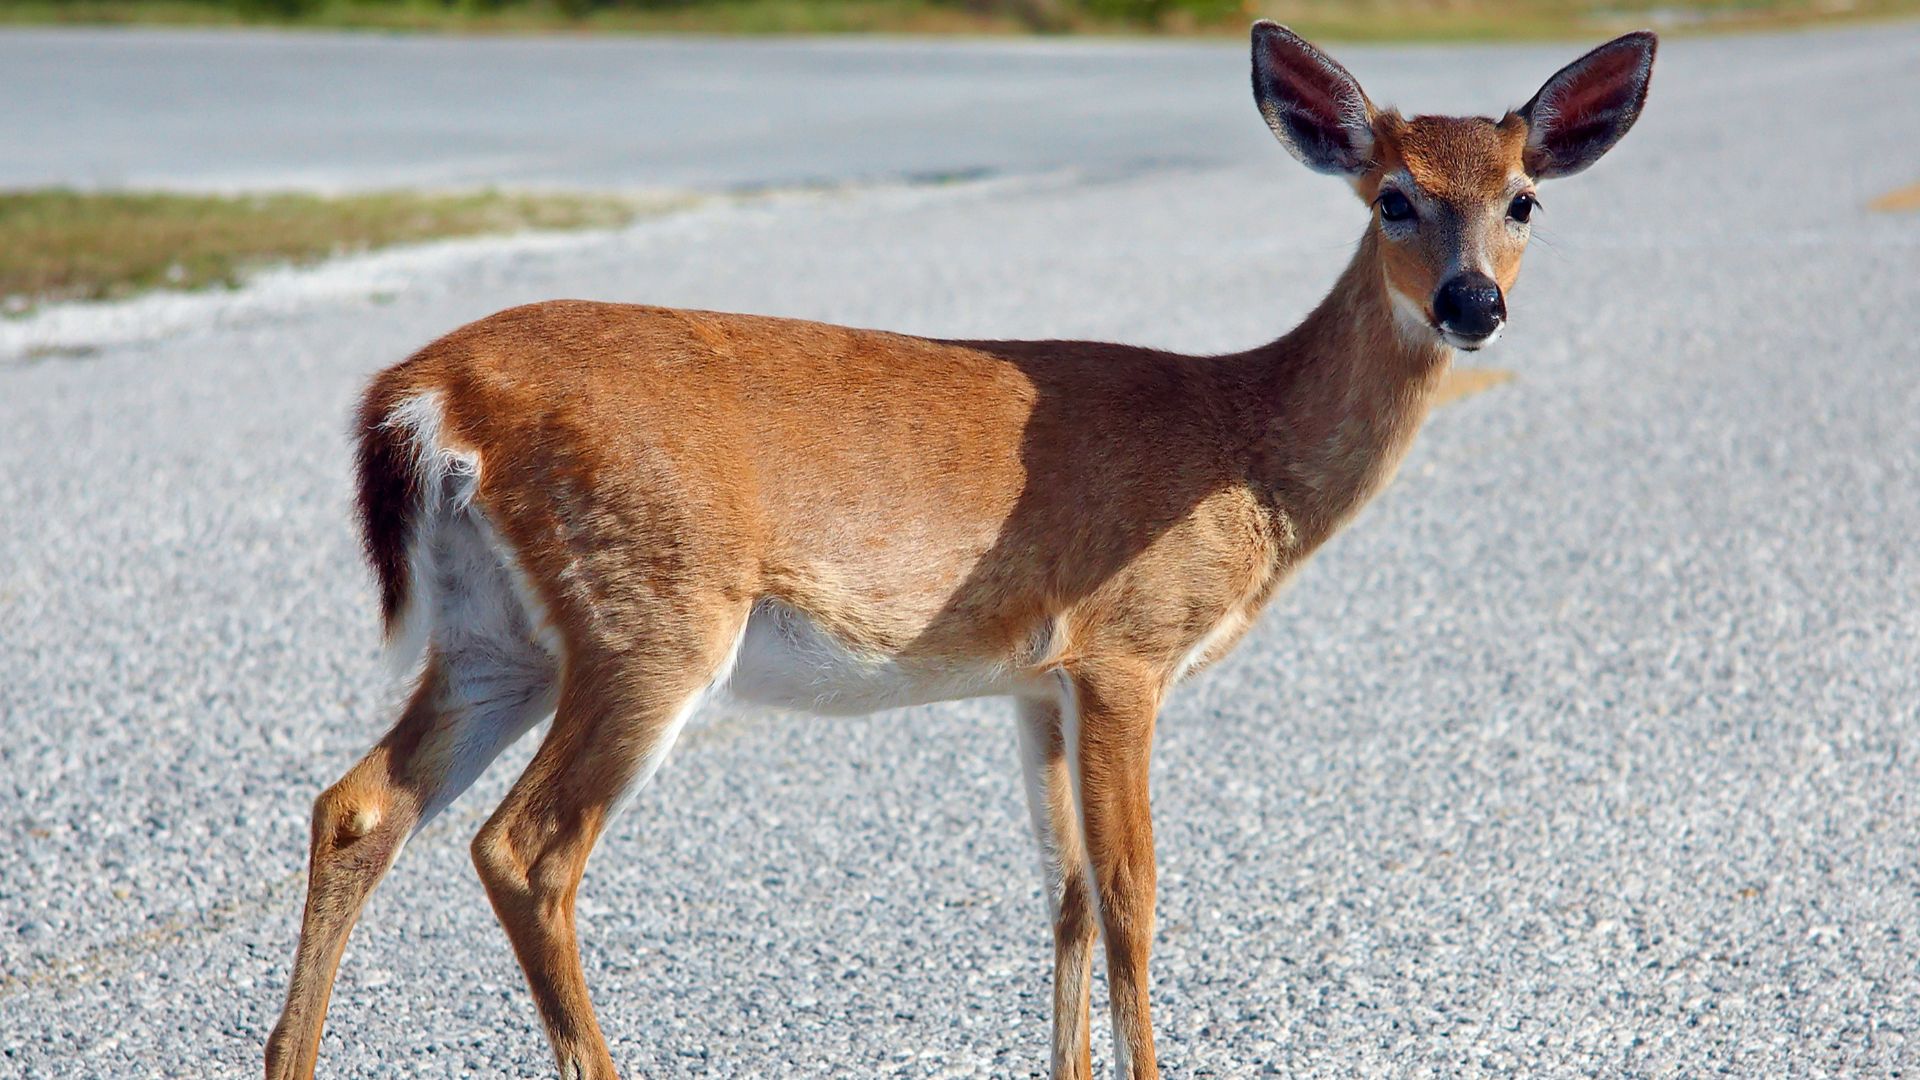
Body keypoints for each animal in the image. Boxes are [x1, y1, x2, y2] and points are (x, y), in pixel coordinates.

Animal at [265, 22, 1656, 1080]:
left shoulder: (1033, 679)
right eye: (1394, 198)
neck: (1244, 448)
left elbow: (1067, 895)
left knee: (360, 805)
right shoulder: (1125, 647)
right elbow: (1136, 896)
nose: (1474, 304)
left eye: (1524, 200)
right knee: (526, 849)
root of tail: (423, 391)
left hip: (497, 632)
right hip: (651, 611)